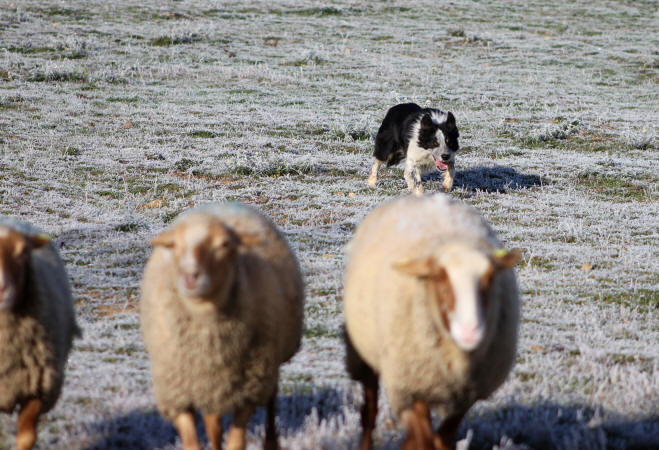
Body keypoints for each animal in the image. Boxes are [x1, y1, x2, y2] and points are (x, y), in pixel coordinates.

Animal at [141, 204, 306, 450]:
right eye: (174, 246)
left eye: (224, 245)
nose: (191, 276)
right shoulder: (177, 391)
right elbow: (194, 441)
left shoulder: (250, 386)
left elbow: (236, 442)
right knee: (214, 423)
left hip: (269, 362)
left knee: (271, 398)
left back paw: (271, 441)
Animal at [346, 194, 520, 450]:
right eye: (439, 278)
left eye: (489, 279)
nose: (470, 331)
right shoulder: (411, 388)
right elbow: (424, 437)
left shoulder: (464, 396)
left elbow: (441, 438)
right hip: (364, 353)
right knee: (369, 412)